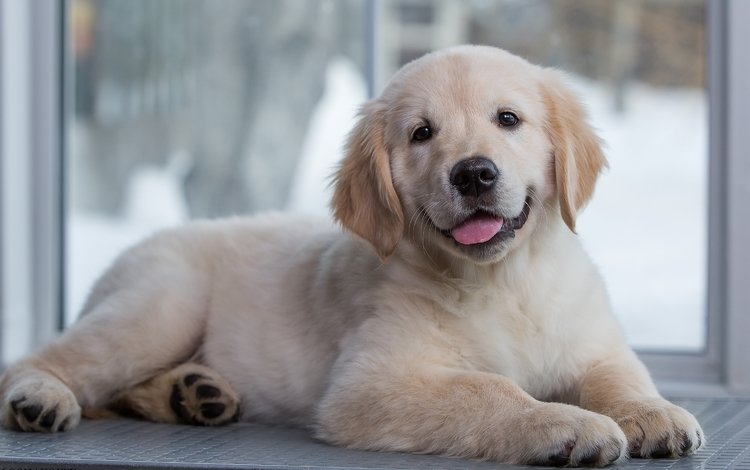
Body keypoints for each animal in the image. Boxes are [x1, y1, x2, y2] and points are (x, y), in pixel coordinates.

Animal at [0, 46, 704, 466]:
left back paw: (193, 395)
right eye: (422, 134)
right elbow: (487, 389)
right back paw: (40, 397)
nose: (474, 174)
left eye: (508, 119)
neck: (502, 280)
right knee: (47, 361)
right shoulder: (370, 384)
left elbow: (621, 377)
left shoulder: (594, 343)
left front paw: (655, 414)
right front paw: (565, 425)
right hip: (159, 306)